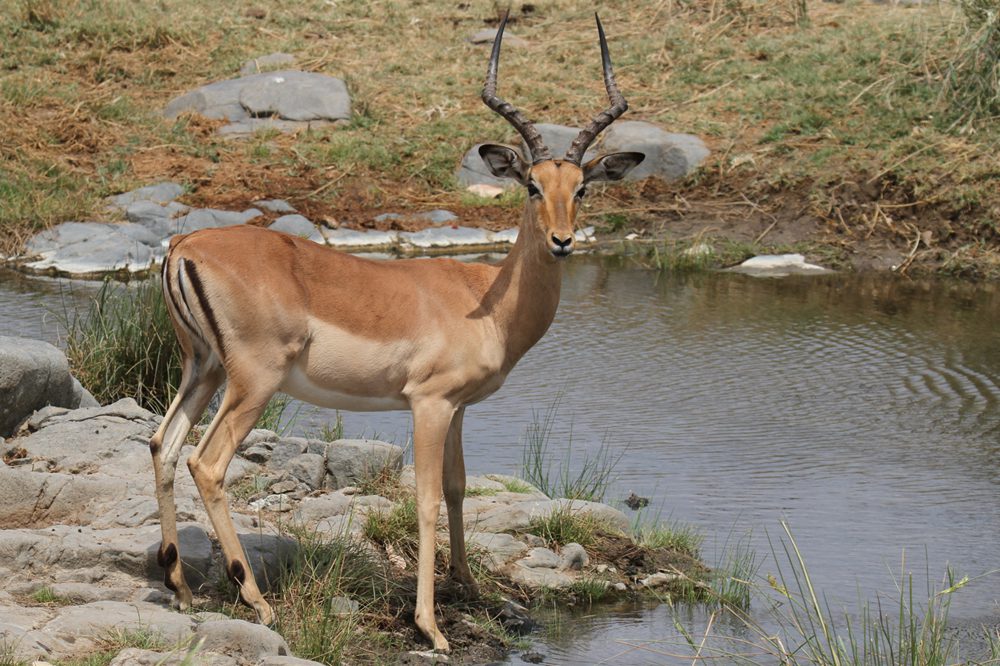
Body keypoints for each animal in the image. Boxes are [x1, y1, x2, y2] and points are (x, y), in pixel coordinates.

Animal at [148, 12, 643, 652]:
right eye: (531, 185)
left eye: (581, 188)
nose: (562, 241)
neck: (485, 301)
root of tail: (186, 245)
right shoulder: (427, 403)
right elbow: (427, 499)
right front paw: (431, 627)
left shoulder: (459, 408)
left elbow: (458, 487)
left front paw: (469, 587)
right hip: (253, 382)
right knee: (206, 464)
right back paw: (256, 601)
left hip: (202, 369)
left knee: (162, 444)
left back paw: (182, 589)